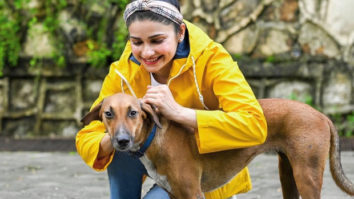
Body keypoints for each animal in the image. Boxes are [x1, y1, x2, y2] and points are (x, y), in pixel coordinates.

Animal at [81, 93, 352, 199]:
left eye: (133, 112)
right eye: (108, 114)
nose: (121, 141)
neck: (154, 138)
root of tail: (322, 115)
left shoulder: (193, 193)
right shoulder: (175, 194)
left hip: (306, 176)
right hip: (289, 175)